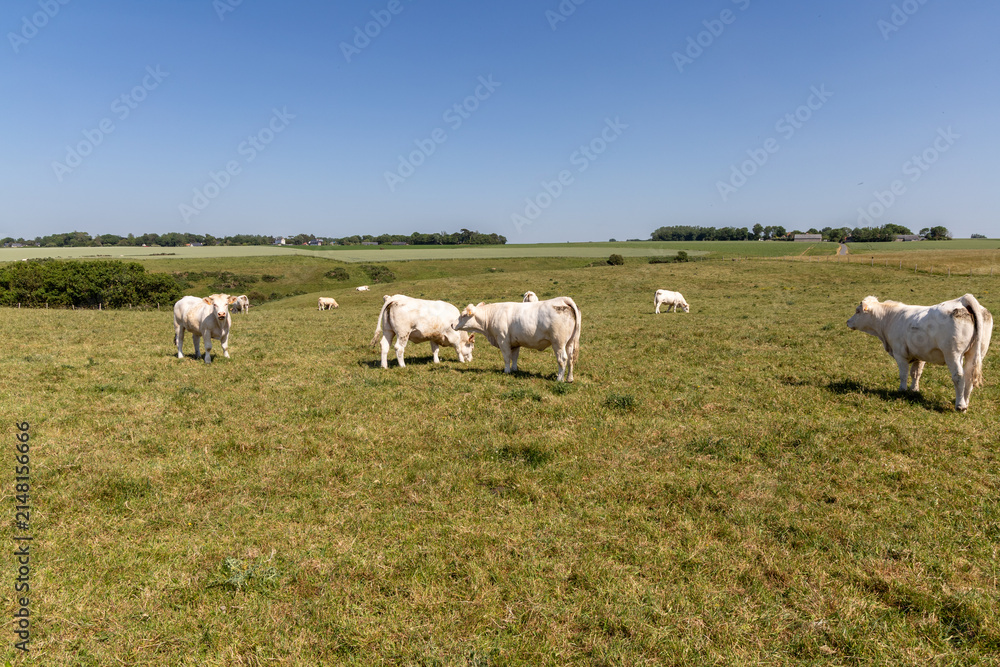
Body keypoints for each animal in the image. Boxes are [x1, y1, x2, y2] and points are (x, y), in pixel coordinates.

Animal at [453, 297, 581, 382]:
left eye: (463, 315)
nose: (452, 324)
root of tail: (563, 299)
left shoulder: (503, 340)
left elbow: (506, 357)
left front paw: (507, 371)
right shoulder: (515, 342)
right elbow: (514, 357)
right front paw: (514, 369)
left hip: (558, 343)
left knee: (562, 359)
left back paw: (559, 379)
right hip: (570, 342)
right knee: (571, 359)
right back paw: (569, 378)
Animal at [846, 293, 993, 411]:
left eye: (857, 311)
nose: (848, 322)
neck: (890, 318)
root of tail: (963, 299)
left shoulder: (900, 354)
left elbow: (903, 374)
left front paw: (902, 390)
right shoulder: (920, 355)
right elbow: (916, 373)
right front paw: (914, 389)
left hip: (953, 354)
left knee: (959, 376)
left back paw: (960, 405)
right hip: (976, 353)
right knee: (969, 377)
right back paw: (965, 402)